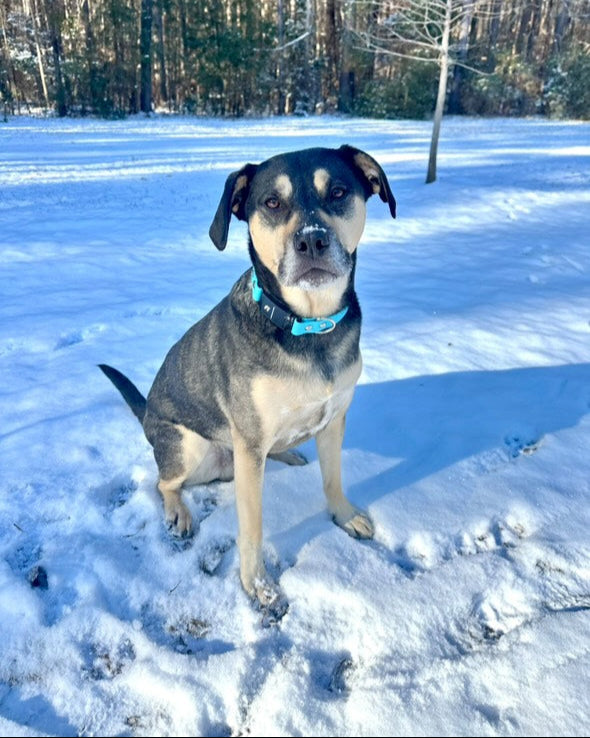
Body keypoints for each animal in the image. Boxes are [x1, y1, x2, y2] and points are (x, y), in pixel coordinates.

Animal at [100, 144, 398, 616]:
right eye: (272, 203)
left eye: (337, 191)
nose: (311, 240)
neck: (308, 327)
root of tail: (146, 414)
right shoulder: (250, 443)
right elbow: (252, 526)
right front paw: (257, 585)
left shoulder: (334, 418)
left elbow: (333, 478)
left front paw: (344, 515)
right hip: (189, 447)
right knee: (163, 481)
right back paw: (178, 511)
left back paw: (289, 454)